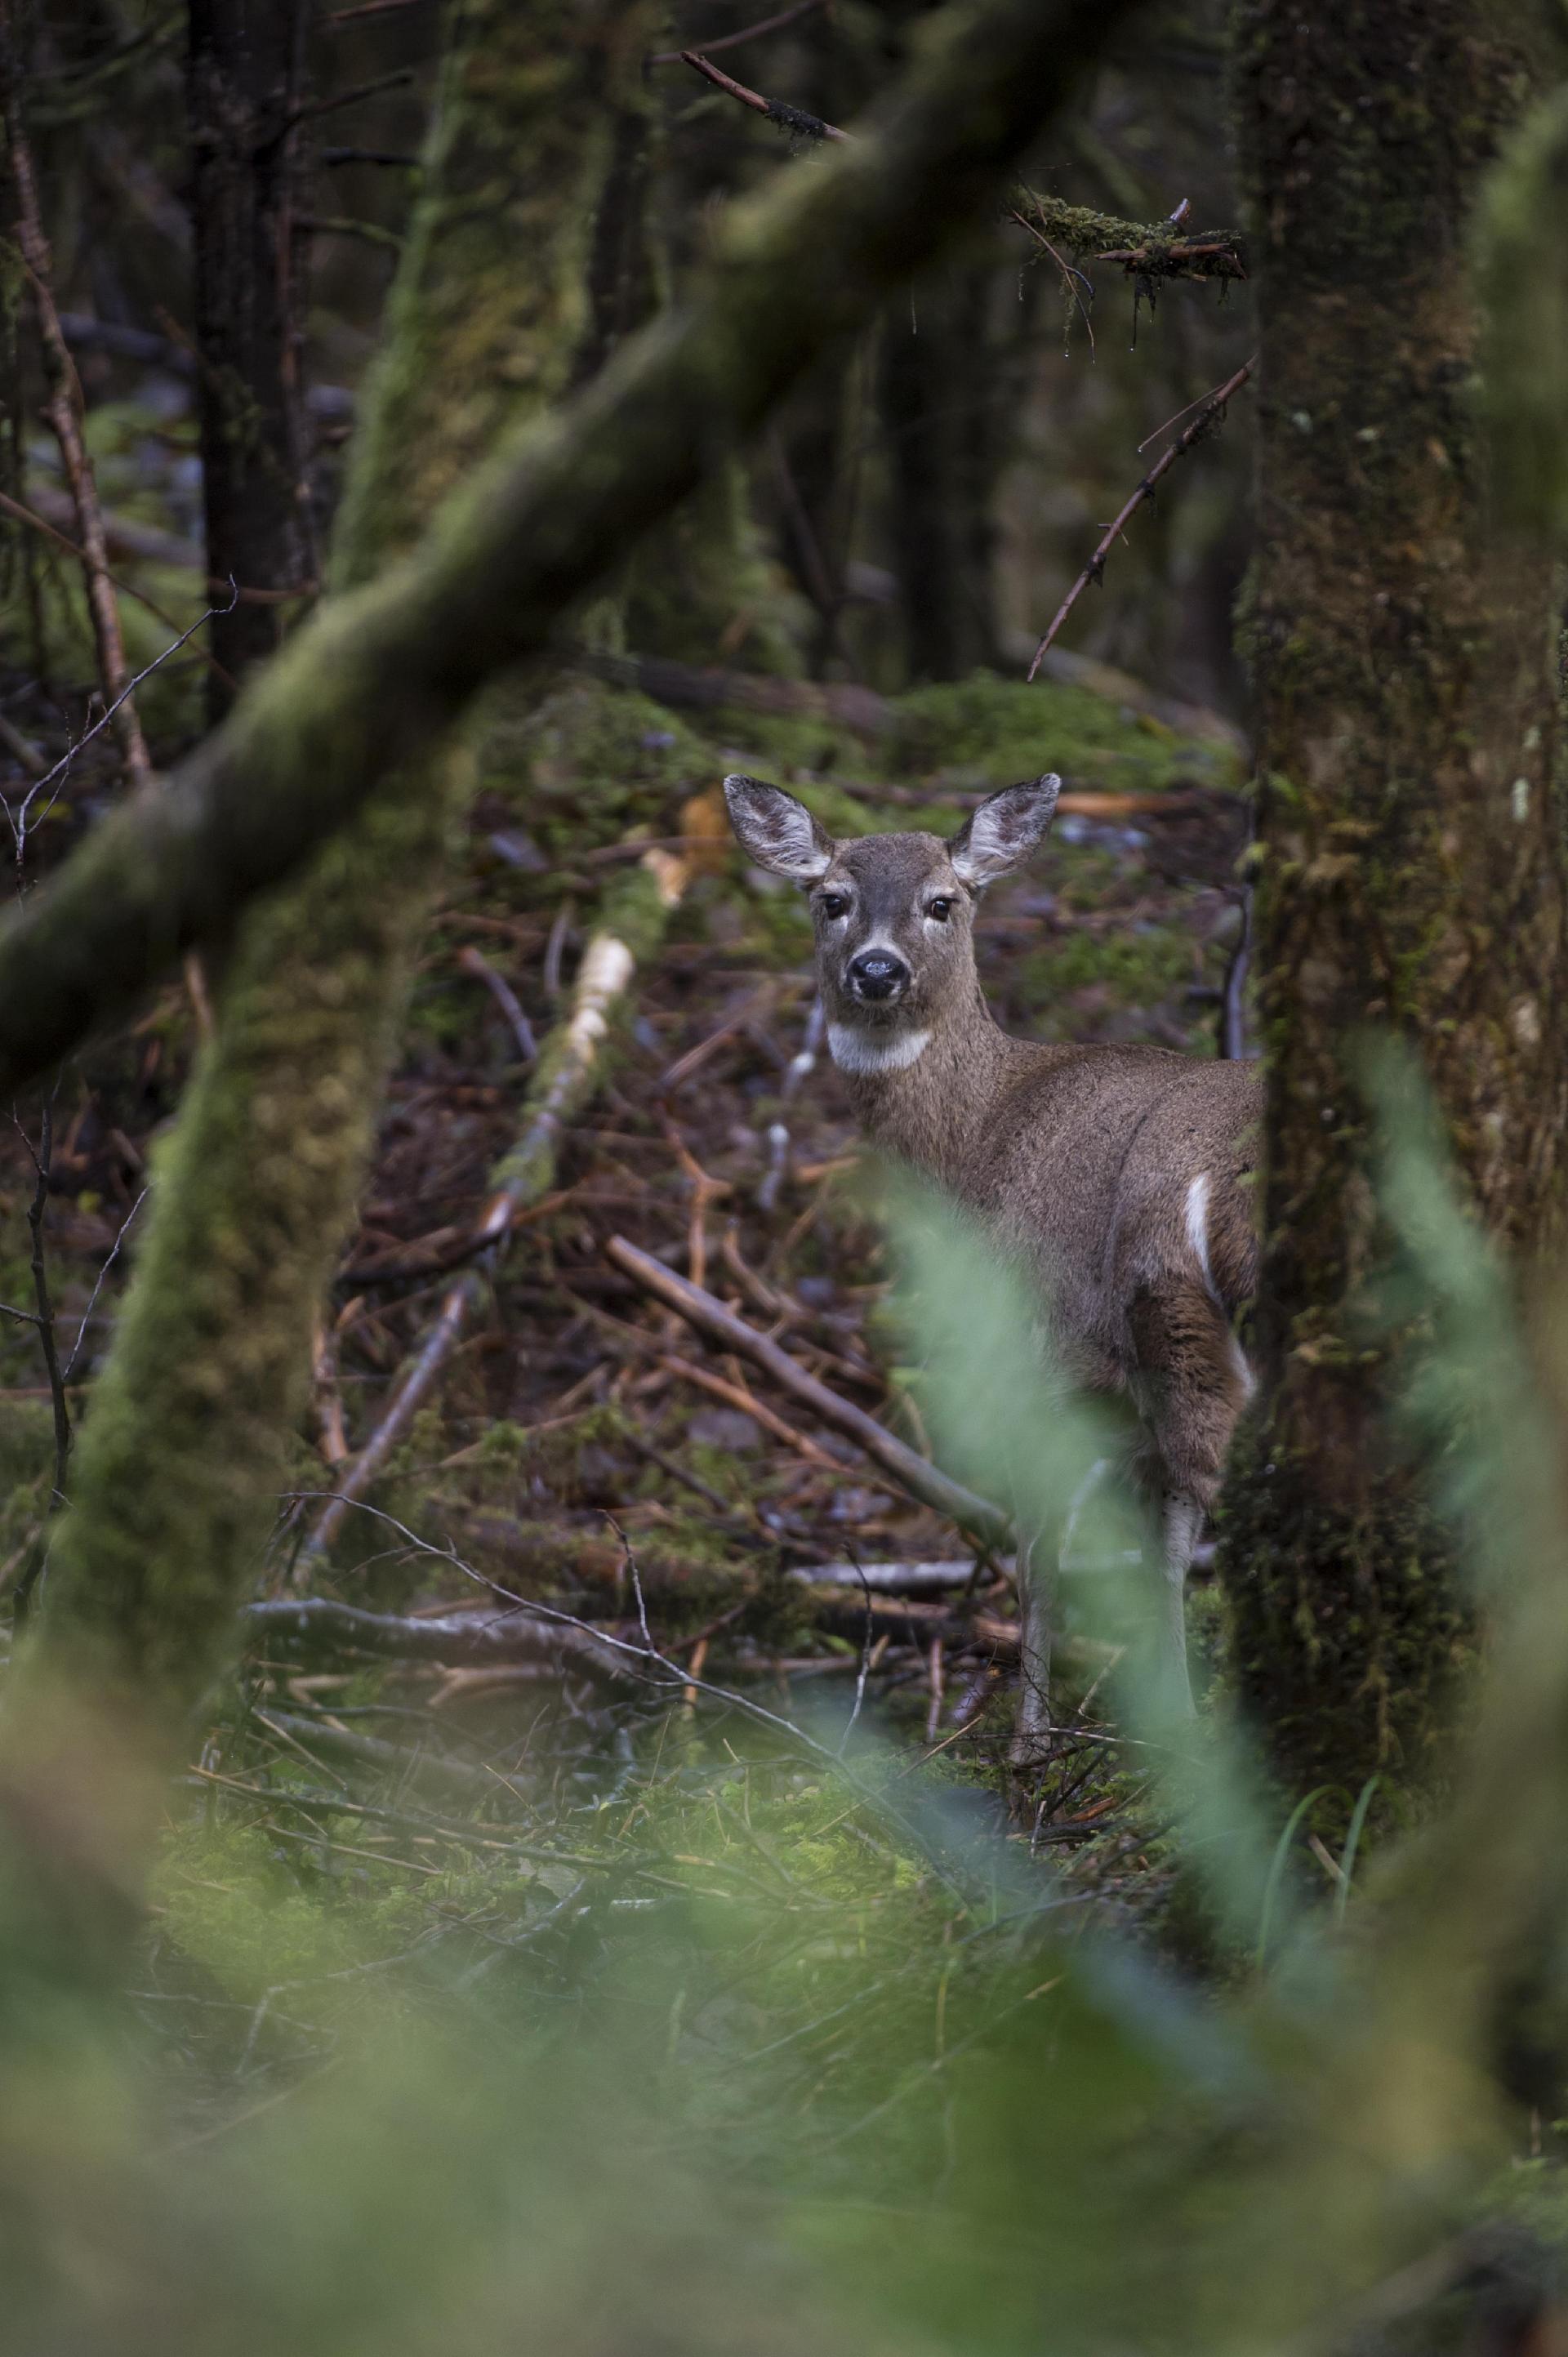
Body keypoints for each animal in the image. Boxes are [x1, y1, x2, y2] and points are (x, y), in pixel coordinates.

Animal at [726, 764, 1263, 1762]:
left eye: (944, 901)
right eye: (832, 898)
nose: (878, 969)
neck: (977, 1137)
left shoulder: (1040, 1350)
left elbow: (1045, 1550)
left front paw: (1030, 1745)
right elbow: (1155, 1548)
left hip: (1176, 1320)